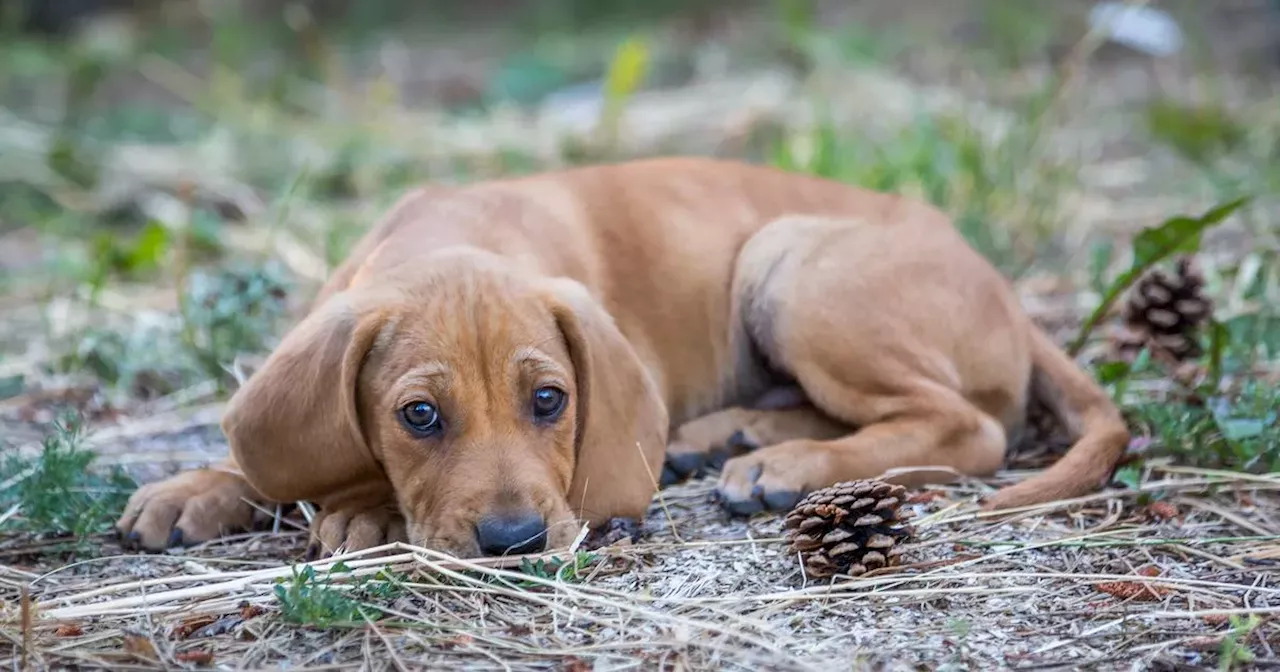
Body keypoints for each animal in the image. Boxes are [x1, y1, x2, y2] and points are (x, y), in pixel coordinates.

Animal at [115, 157, 1126, 555]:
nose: (515, 543)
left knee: (968, 426)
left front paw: (360, 509)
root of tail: (1001, 284)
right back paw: (728, 435)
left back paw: (788, 464)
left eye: (551, 401)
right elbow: (266, 452)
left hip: (790, 261)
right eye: (419, 416)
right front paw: (198, 487)